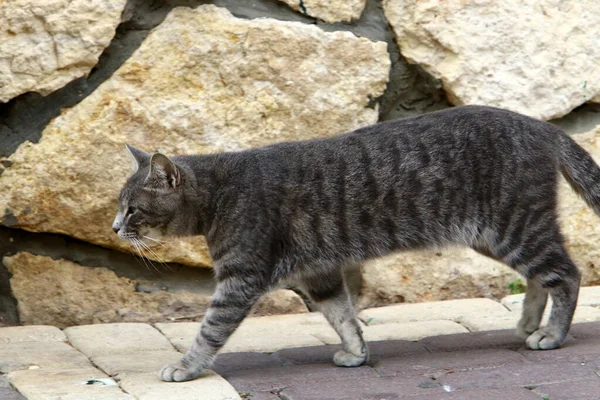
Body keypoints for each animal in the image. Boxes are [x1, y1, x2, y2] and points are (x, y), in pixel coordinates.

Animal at [110, 105, 592, 382]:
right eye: (120, 207)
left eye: (132, 209)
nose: (114, 228)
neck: (219, 193)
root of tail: (540, 126)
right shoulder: (318, 273)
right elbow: (342, 315)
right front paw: (356, 353)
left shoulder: (240, 279)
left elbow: (209, 329)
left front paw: (186, 366)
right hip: (497, 237)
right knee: (540, 279)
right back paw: (528, 324)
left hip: (515, 227)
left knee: (567, 275)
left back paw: (551, 334)